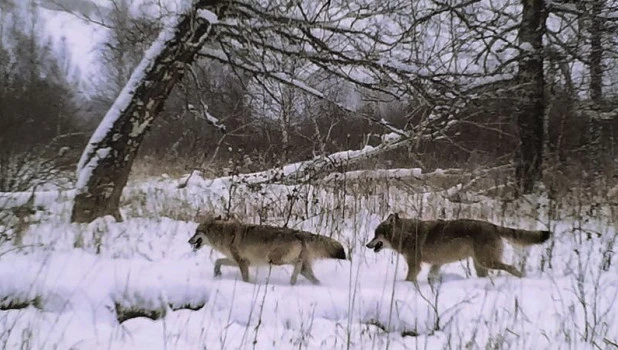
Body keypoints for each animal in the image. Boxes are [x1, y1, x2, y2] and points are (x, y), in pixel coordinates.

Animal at [186, 217, 346, 286]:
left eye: (196, 232)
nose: (188, 241)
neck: (223, 234)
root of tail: (298, 233)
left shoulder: (242, 263)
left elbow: (245, 278)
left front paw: (247, 285)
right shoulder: (239, 261)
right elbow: (218, 261)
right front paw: (216, 274)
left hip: (275, 260)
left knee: (297, 264)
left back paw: (292, 280)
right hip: (300, 268)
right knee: (312, 277)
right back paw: (296, 283)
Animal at [360, 212, 548, 284]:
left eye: (376, 235)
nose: (367, 245)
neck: (406, 234)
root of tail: (493, 226)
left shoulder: (415, 265)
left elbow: (409, 279)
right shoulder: (436, 264)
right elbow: (431, 276)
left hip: (487, 262)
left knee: (511, 267)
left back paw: (522, 277)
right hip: (480, 265)